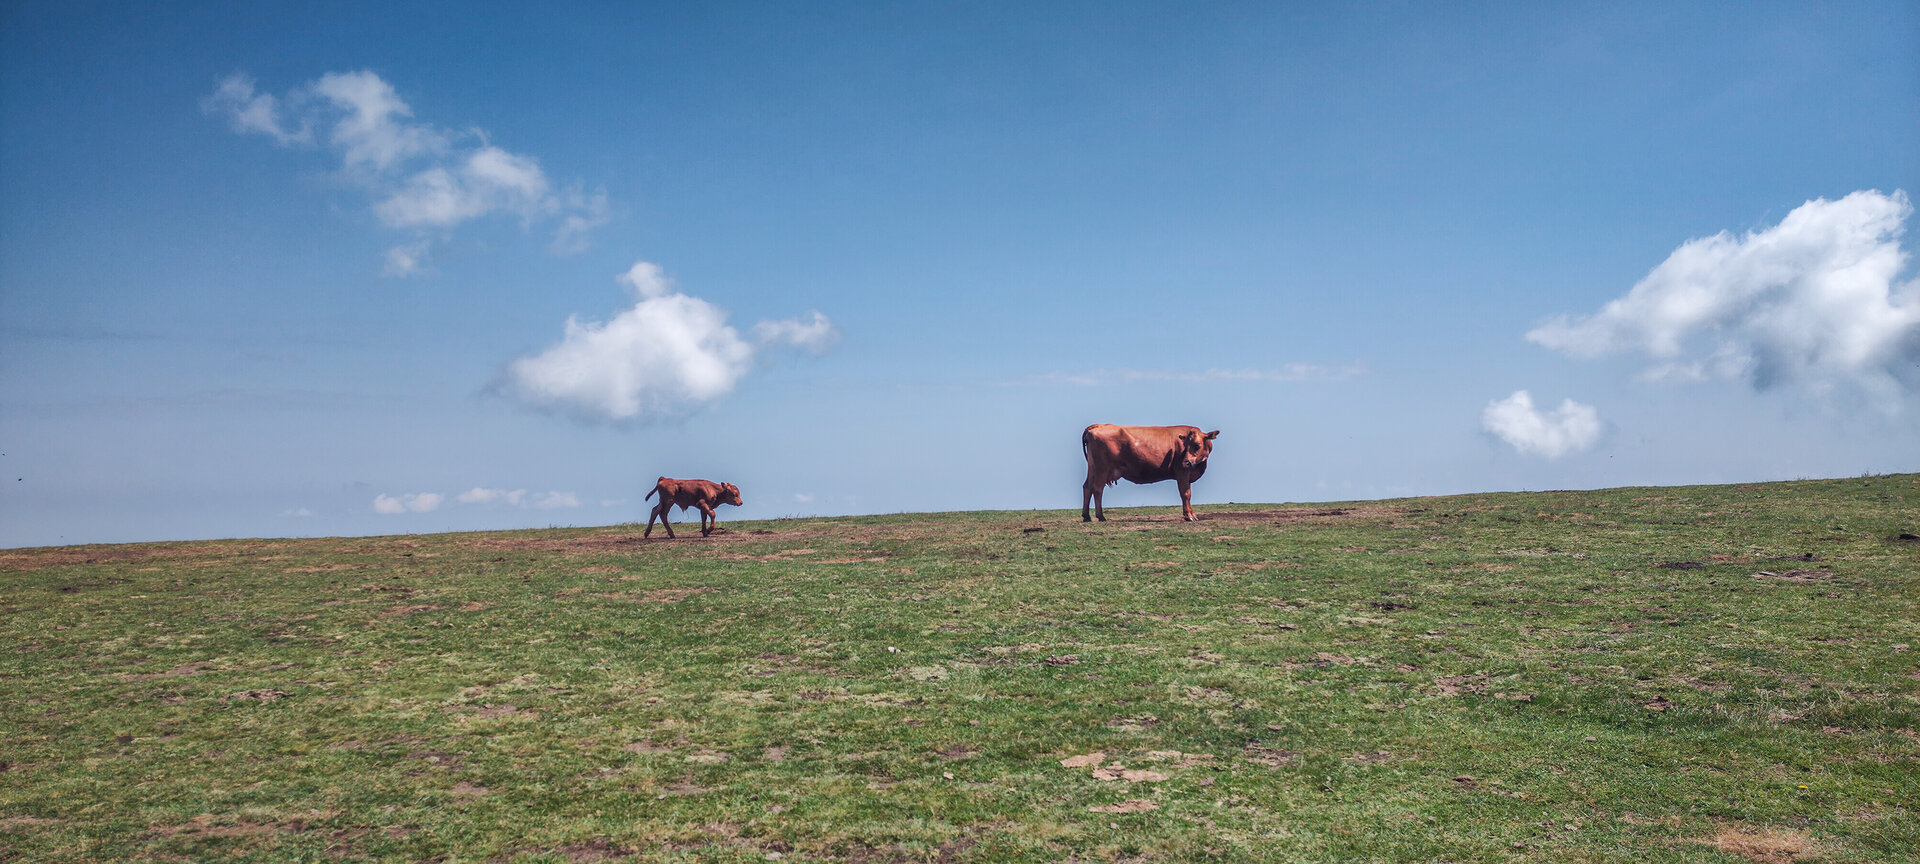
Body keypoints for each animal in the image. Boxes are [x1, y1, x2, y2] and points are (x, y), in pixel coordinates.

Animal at [1081, 424, 1220, 523]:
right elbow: (1185, 494)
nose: (1186, 462)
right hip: (1102, 469)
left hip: (1092, 468)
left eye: (1197, 445)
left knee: (1087, 487)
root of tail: (1099, 426)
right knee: (1097, 489)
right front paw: (1189, 516)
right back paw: (1101, 516)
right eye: (1185, 445)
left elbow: (1187, 494)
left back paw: (1086, 516)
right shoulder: (1182, 472)